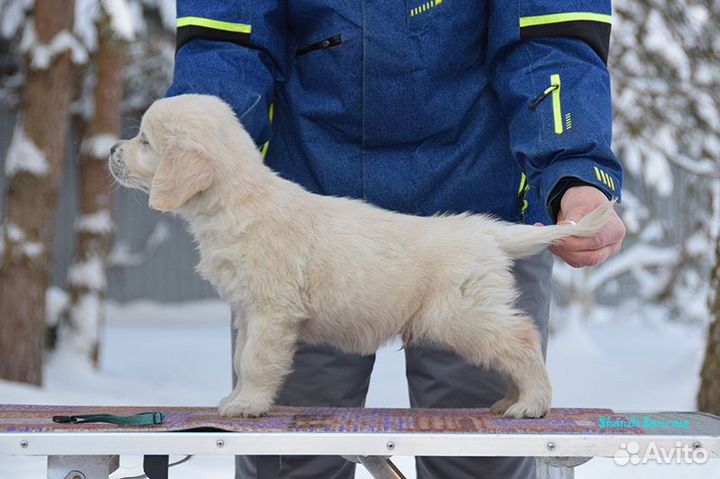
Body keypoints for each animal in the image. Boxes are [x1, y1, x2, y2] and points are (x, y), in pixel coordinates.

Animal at [108, 94, 612, 420]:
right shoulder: (250, 310)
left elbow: (255, 360)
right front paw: (242, 398)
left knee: (523, 340)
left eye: (145, 142)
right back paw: (511, 400)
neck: (238, 199)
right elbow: (242, 355)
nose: (111, 149)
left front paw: (246, 404)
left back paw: (532, 403)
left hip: (461, 314)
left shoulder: (272, 310)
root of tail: (485, 230)